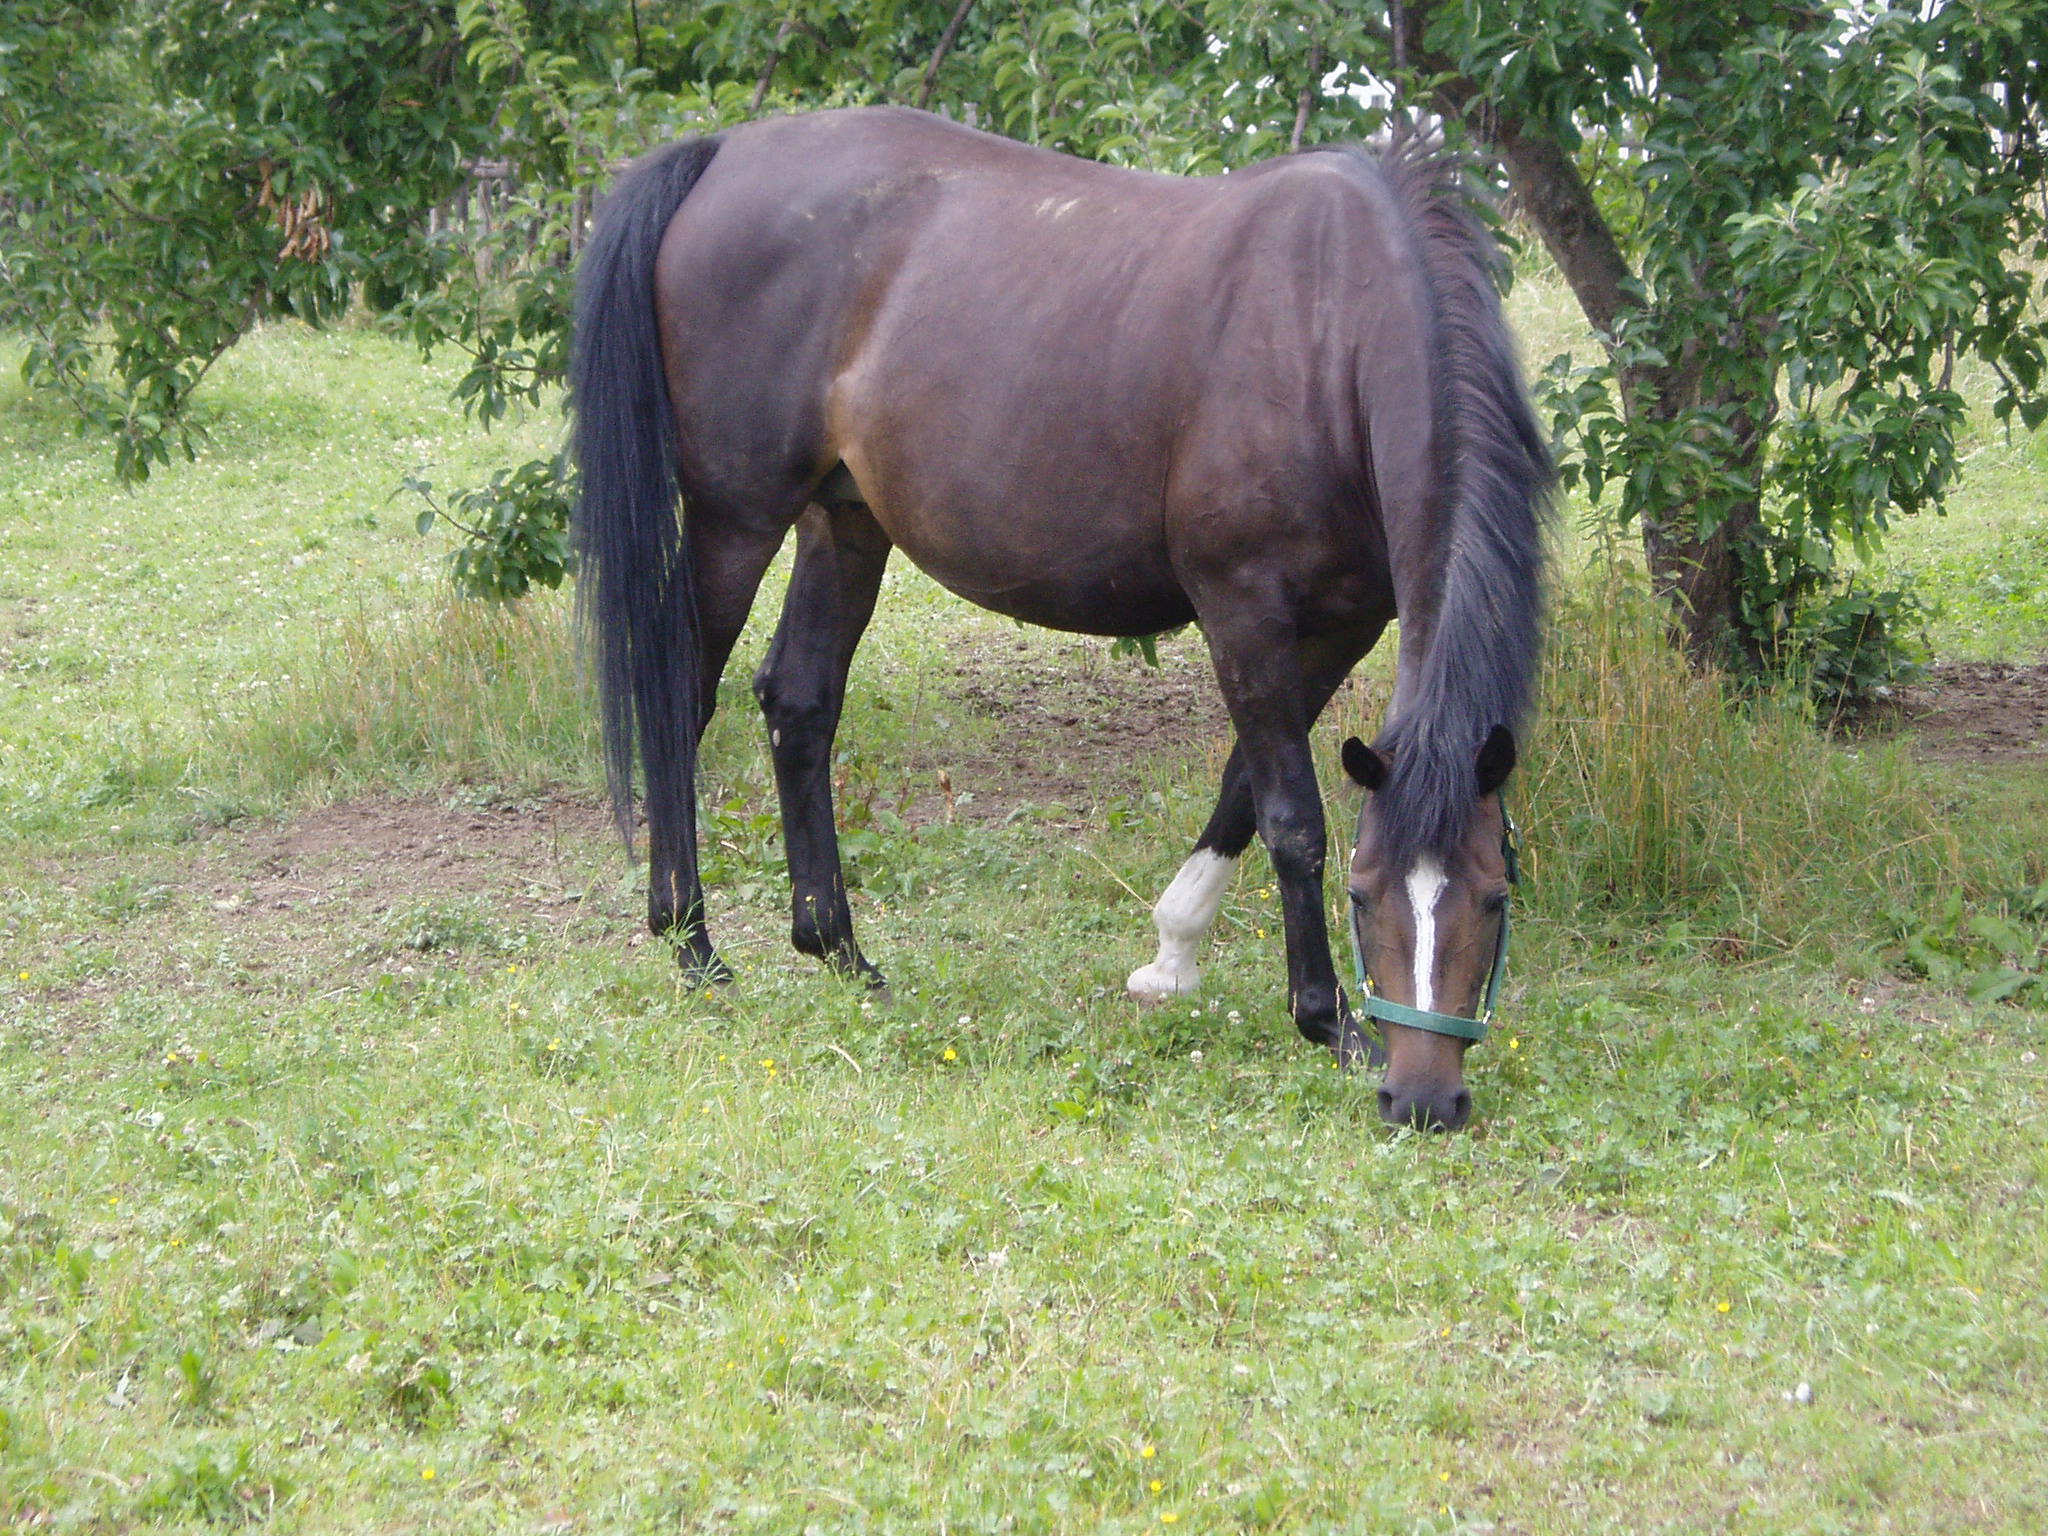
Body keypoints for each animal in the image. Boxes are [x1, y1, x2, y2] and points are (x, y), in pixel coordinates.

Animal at [569, 105, 1540, 1130]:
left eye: (1494, 899)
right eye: (1361, 898)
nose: (1423, 1101)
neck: (1325, 333)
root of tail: (722, 153)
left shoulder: (1340, 626)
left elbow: (1242, 786)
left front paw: (1171, 956)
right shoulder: (1243, 611)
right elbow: (1293, 819)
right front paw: (1330, 1022)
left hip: (844, 519)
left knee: (799, 704)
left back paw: (839, 952)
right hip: (736, 520)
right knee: (680, 700)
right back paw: (693, 948)